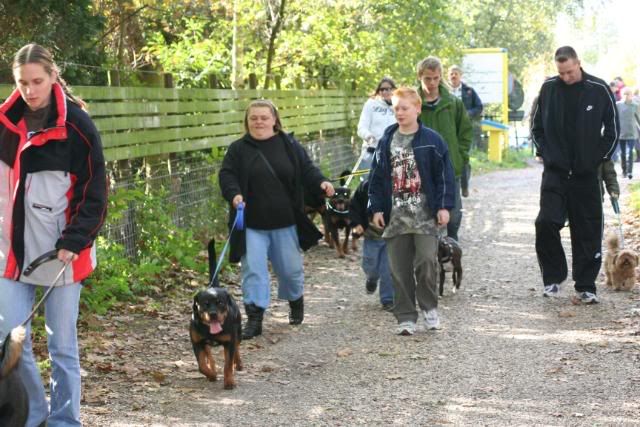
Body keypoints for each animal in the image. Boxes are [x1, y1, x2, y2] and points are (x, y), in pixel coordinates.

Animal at [190, 239, 242, 390]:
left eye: (220, 303)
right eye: (205, 304)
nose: (213, 314)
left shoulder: (229, 342)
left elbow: (227, 364)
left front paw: (229, 381)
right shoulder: (197, 342)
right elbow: (201, 365)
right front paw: (211, 374)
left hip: (238, 331)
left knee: (237, 348)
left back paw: (239, 363)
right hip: (206, 345)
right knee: (210, 357)